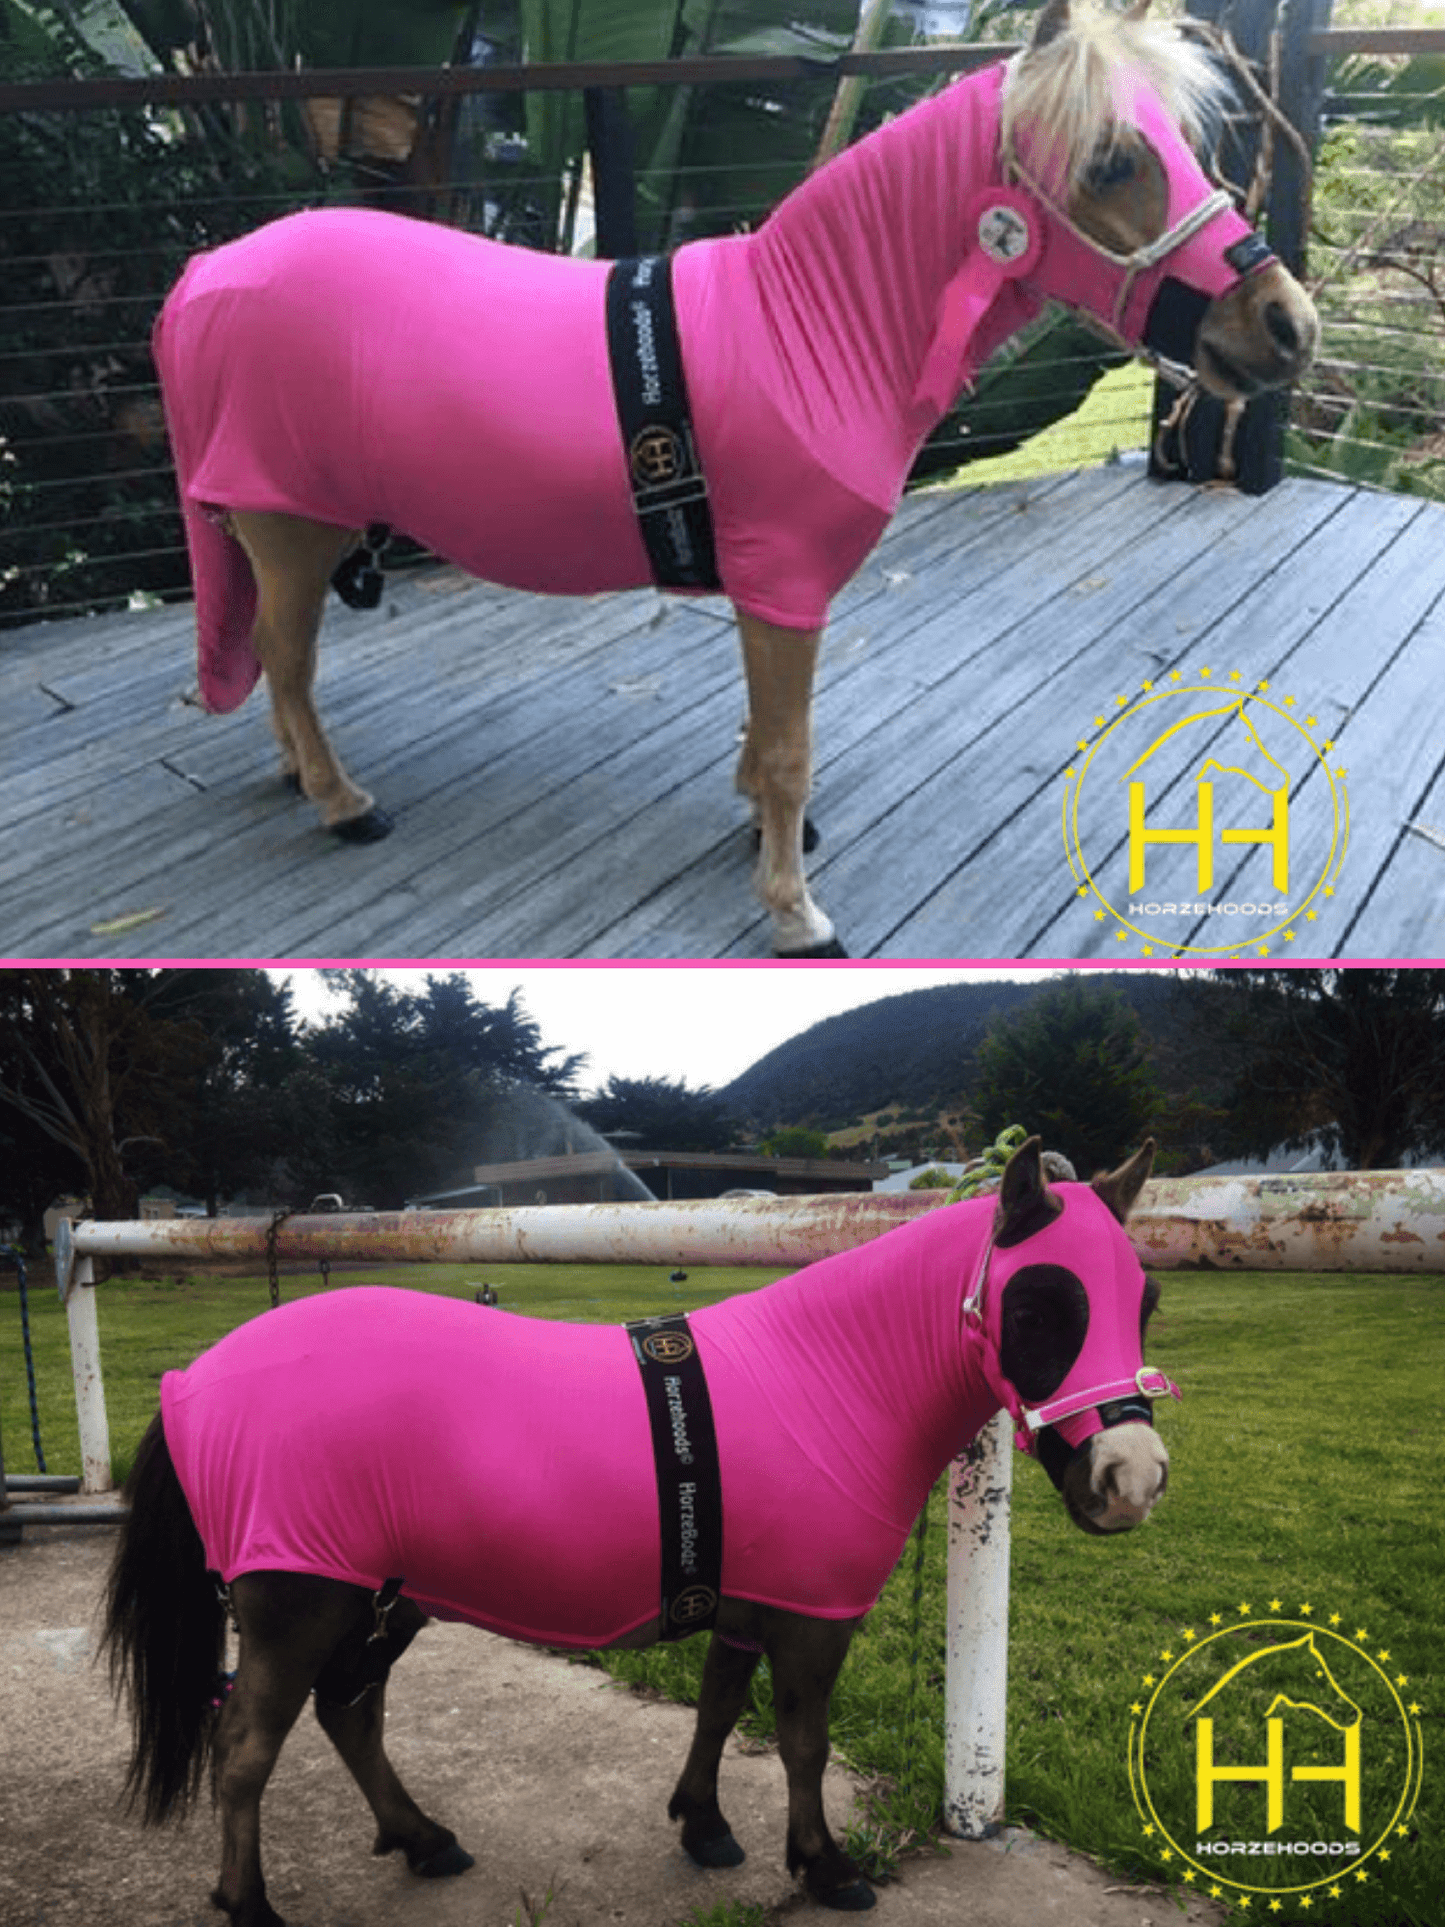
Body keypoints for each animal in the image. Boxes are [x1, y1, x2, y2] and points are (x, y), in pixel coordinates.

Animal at [102, 1134, 1178, 1923]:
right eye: (1037, 1306)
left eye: (1146, 1299)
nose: (1128, 1479)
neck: (827, 1373)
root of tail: (194, 1382)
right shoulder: (810, 1618)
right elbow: (803, 1742)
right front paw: (823, 1864)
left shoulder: (745, 1600)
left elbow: (717, 1708)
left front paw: (702, 1825)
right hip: (299, 1602)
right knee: (247, 1746)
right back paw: (248, 1901)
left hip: (386, 1597)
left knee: (349, 1713)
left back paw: (423, 1838)